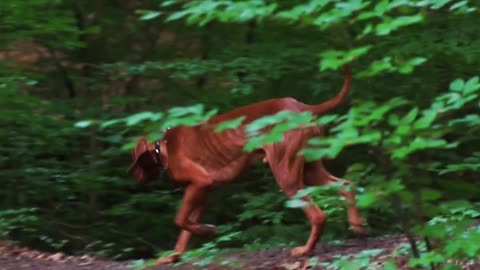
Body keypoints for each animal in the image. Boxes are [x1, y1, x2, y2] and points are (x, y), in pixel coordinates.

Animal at [127, 65, 364, 264]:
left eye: (135, 161)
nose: (134, 177)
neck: (163, 147)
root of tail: (301, 107)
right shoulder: (201, 192)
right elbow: (185, 231)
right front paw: (173, 257)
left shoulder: (200, 182)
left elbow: (179, 220)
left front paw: (208, 231)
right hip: (309, 169)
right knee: (346, 185)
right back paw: (357, 225)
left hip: (287, 176)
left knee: (318, 215)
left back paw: (305, 250)